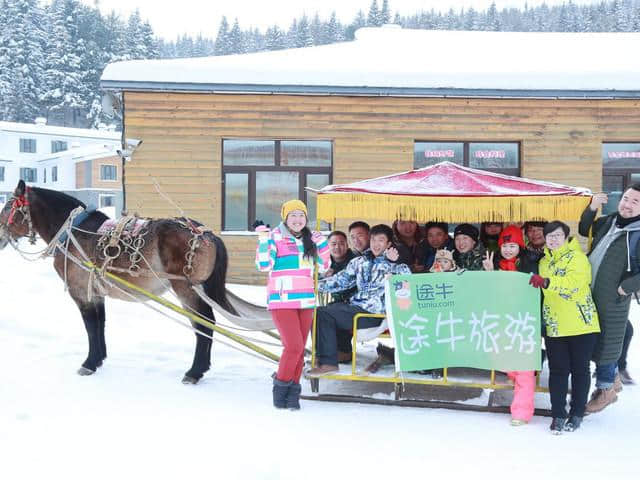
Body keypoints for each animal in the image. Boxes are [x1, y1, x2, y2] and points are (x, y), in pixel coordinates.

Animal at [0, 181, 235, 386]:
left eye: (8, 206)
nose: (0, 236)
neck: (72, 232)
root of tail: (205, 233)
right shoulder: (96, 292)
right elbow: (100, 324)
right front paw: (99, 358)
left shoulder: (81, 292)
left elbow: (90, 326)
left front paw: (89, 364)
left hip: (186, 288)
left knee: (204, 325)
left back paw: (194, 371)